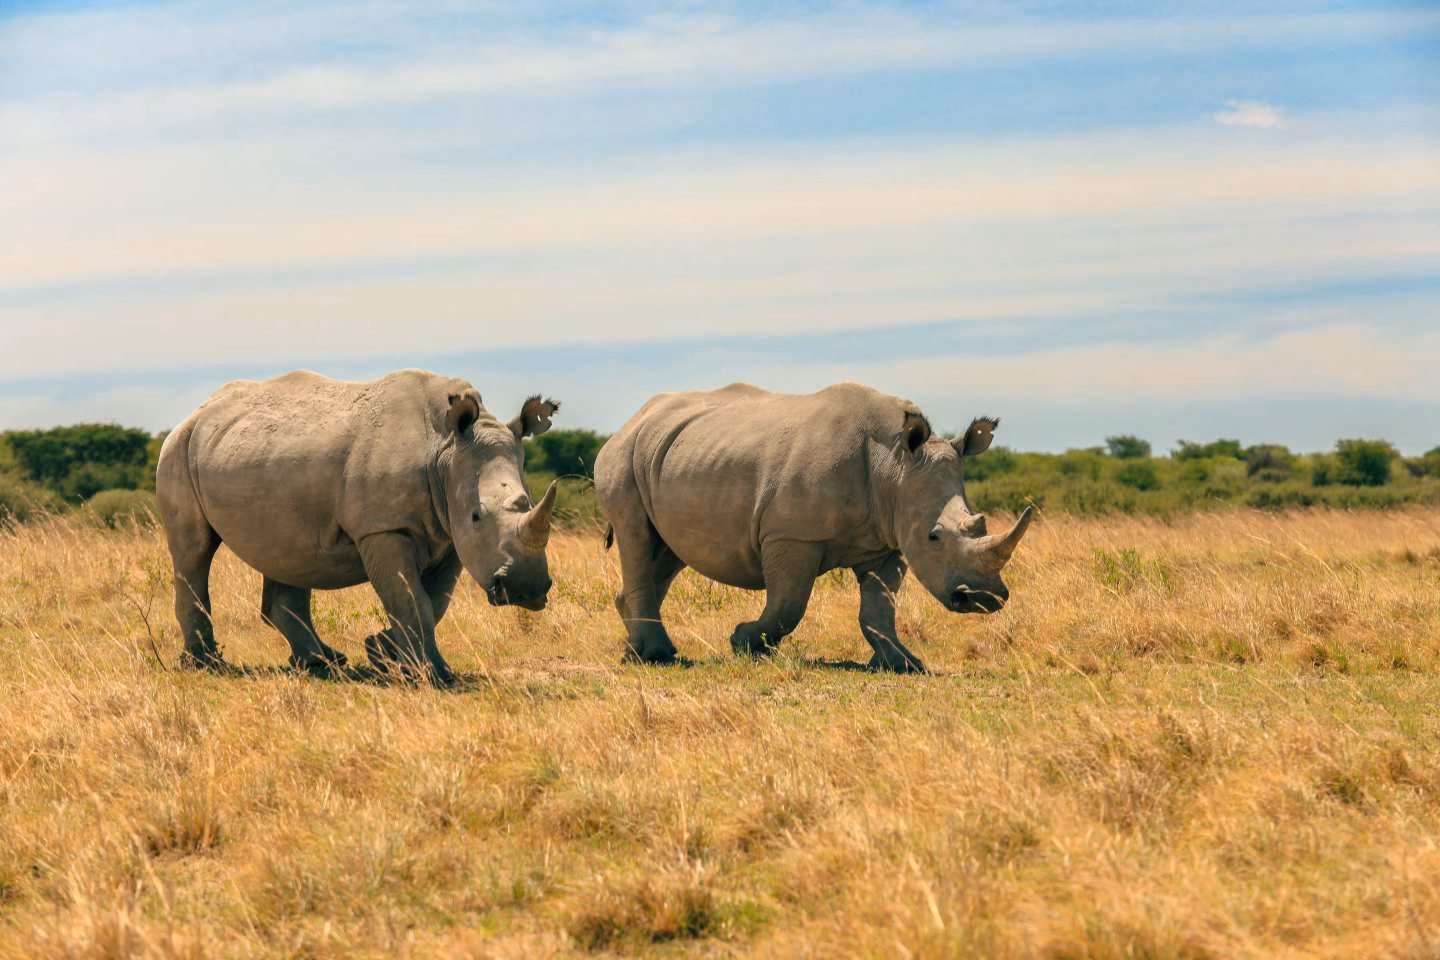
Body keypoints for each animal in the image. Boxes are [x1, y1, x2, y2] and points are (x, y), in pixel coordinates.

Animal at [155, 369, 560, 685]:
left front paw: (381, 654)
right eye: (477, 515)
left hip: (263, 456)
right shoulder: (385, 527)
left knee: (287, 551)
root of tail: (197, 412)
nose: (527, 590)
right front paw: (435, 675)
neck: (444, 448)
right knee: (194, 549)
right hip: (178, 450)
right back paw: (205, 664)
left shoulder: (450, 534)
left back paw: (322, 663)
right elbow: (412, 599)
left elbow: (435, 602)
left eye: (528, 503)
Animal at [594, 382, 1033, 672]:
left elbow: (879, 609)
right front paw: (745, 644)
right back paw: (654, 656)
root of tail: (633, 419)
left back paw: (640, 650)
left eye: (978, 524)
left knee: (666, 551)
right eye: (934, 537)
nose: (984, 598)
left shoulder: (887, 541)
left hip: (668, 454)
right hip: (622, 457)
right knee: (636, 534)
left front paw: (905, 664)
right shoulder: (792, 535)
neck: (895, 466)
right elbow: (789, 604)